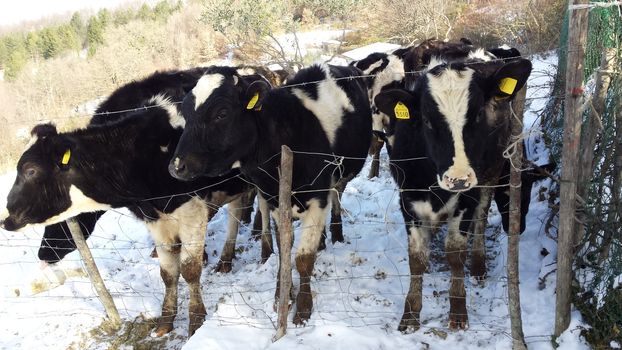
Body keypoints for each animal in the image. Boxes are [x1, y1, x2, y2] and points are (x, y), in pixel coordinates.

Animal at [169, 63, 376, 326]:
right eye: (186, 114)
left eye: (221, 113)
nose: (177, 166)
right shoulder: (276, 201)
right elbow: (283, 250)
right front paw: (282, 297)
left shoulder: (317, 197)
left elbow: (303, 258)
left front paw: (303, 309)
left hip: (341, 174)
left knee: (336, 195)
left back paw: (336, 234)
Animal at [372, 52, 532, 330]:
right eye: (426, 120)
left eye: (478, 114)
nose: (457, 178)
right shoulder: (408, 199)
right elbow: (416, 258)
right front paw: (411, 314)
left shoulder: (468, 197)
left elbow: (455, 253)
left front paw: (458, 311)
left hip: (490, 176)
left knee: (481, 218)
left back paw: (478, 264)